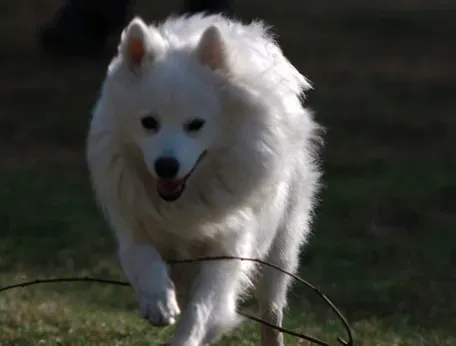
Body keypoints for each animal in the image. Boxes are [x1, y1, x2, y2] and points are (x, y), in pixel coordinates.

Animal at [85, 12, 320, 344]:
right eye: (148, 123)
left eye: (196, 125)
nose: (166, 166)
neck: (187, 198)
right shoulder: (134, 224)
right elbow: (142, 258)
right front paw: (157, 299)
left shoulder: (228, 249)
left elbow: (202, 310)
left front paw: (187, 335)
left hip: (280, 252)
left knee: (272, 310)